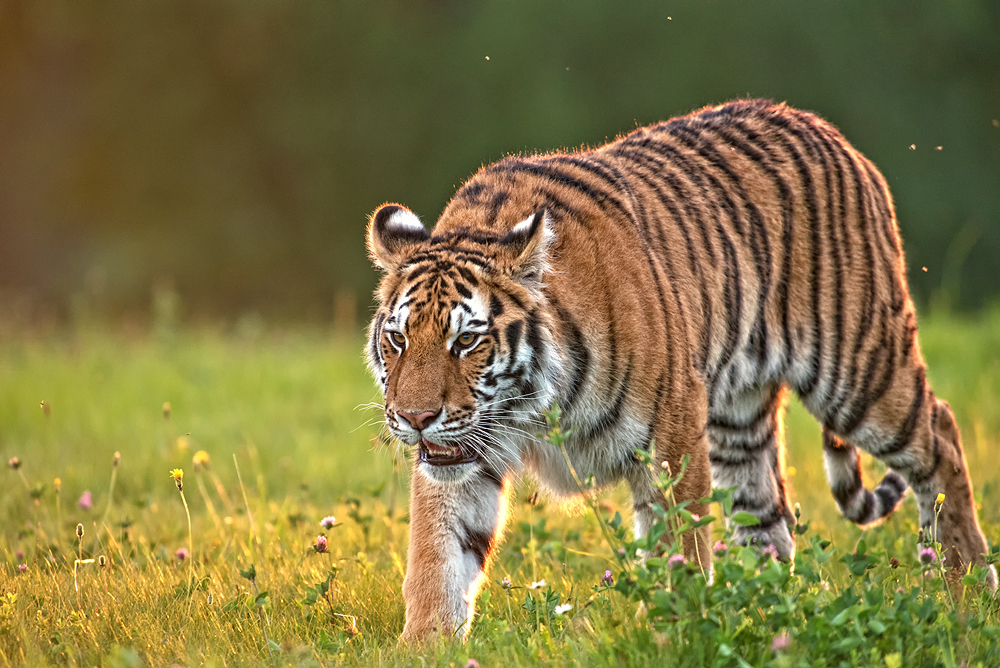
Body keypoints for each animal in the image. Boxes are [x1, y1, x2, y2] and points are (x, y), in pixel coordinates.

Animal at [365, 98, 995, 642]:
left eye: (466, 341)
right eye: (398, 339)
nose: (415, 418)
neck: (532, 407)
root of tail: (827, 130)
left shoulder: (670, 440)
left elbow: (681, 554)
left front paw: (681, 634)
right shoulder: (460, 461)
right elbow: (438, 561)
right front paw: (424, 647)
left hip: (855, 369)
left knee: (940, 432)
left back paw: (967, 586)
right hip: (737, 424)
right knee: (768, 519)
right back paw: (767, 614)